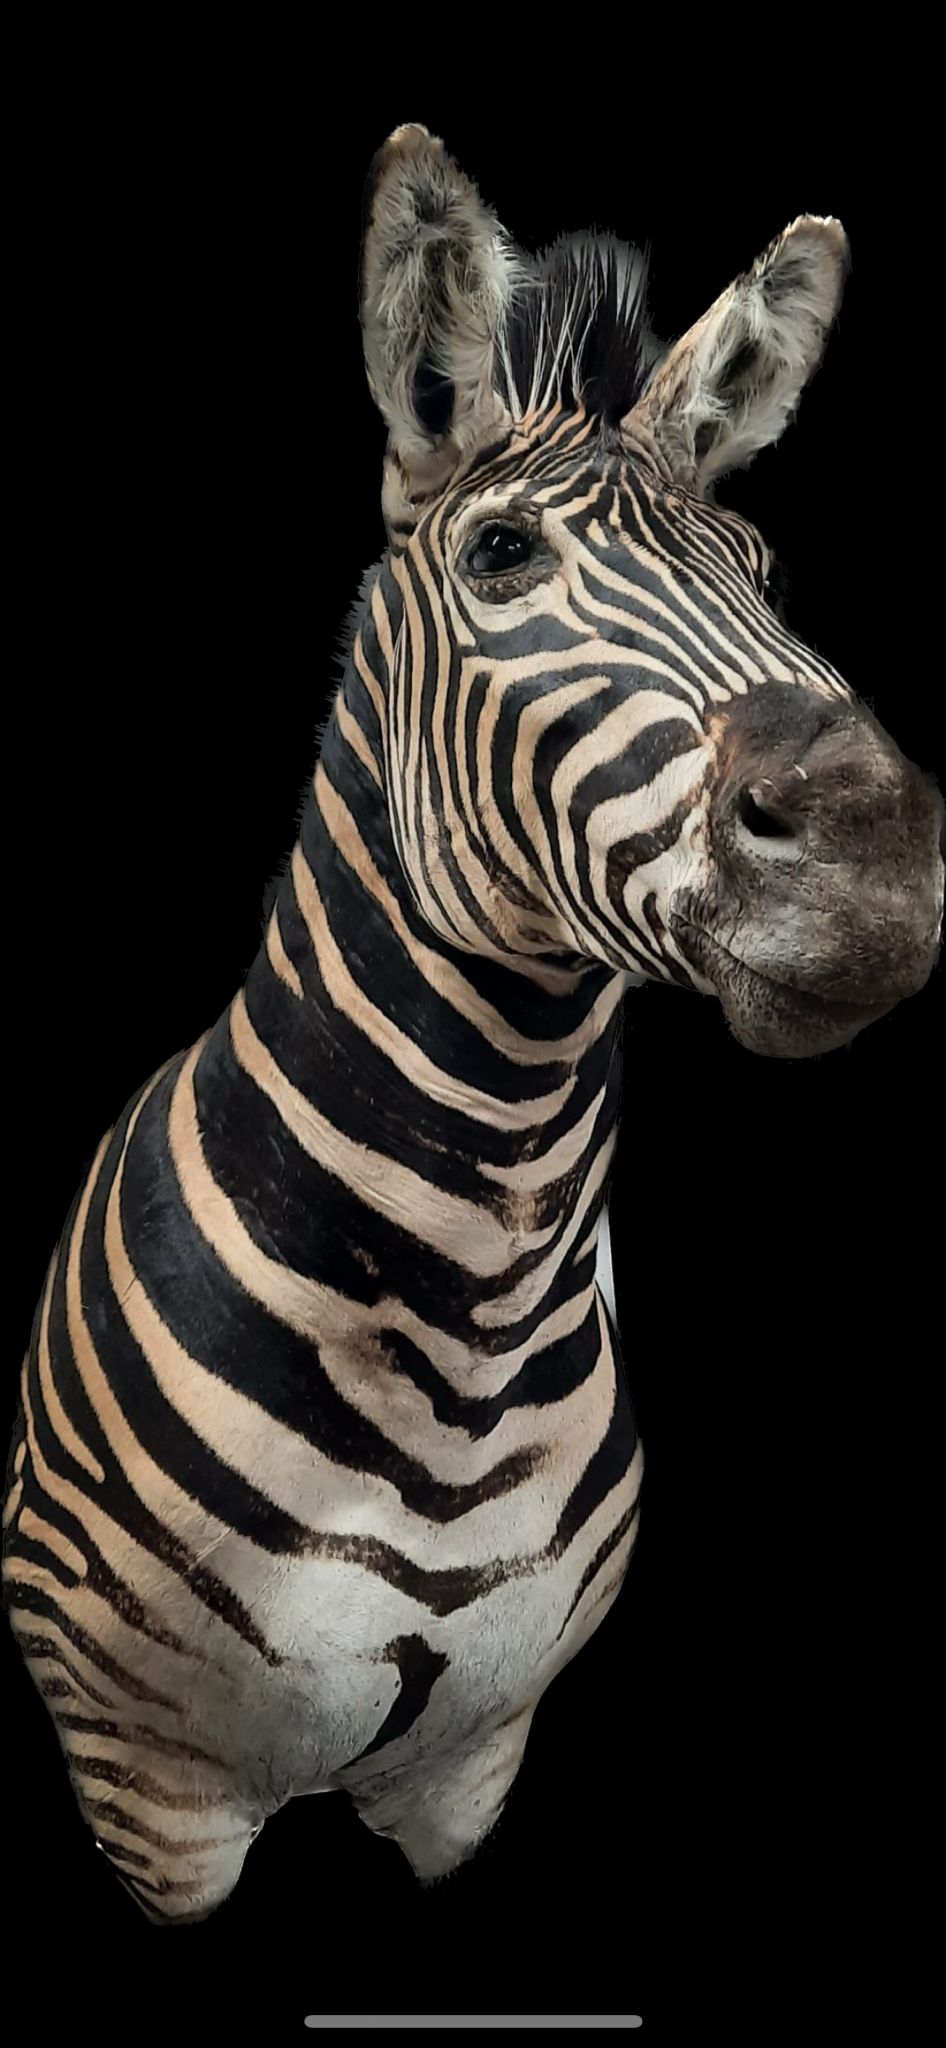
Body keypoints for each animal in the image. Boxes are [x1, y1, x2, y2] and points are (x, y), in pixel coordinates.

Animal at [4, 122, 943, 1928]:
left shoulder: (473, 1761)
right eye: (502, 558)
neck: (465, 1318)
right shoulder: (150, 1782)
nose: (877, 851)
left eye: (765, 571)